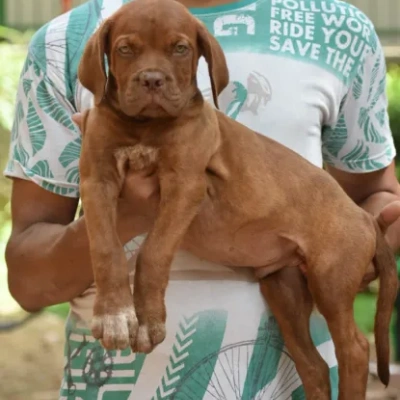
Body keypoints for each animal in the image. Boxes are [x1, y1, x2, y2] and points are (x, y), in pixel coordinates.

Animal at [77, 1, 396, 398]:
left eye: (180, 49)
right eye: (125, 49)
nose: (151, 80)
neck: (144, 126)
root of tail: (363, 216)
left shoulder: (185, 185)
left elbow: (154, 252)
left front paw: (148, 320)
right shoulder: (97, 180)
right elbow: (105, 249)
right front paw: (114, 315)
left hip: (331, 278)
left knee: (354, 347)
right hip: (283, 287)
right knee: (315, 365)